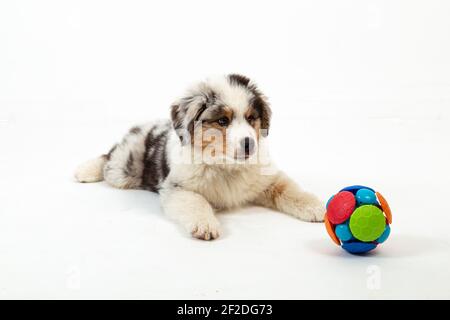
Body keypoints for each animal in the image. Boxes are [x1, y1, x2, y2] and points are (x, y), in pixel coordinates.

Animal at [75, 75, 326, 240]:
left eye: (250, 118)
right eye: (222, 121)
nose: (249, 144)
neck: (226, 166)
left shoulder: (267, 179)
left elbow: (289, 190)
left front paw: (316, 208)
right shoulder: (178, 188)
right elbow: (196, 201)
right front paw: (205, 225)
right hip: (124, 168)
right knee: (108, 157)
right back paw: (85, 170)